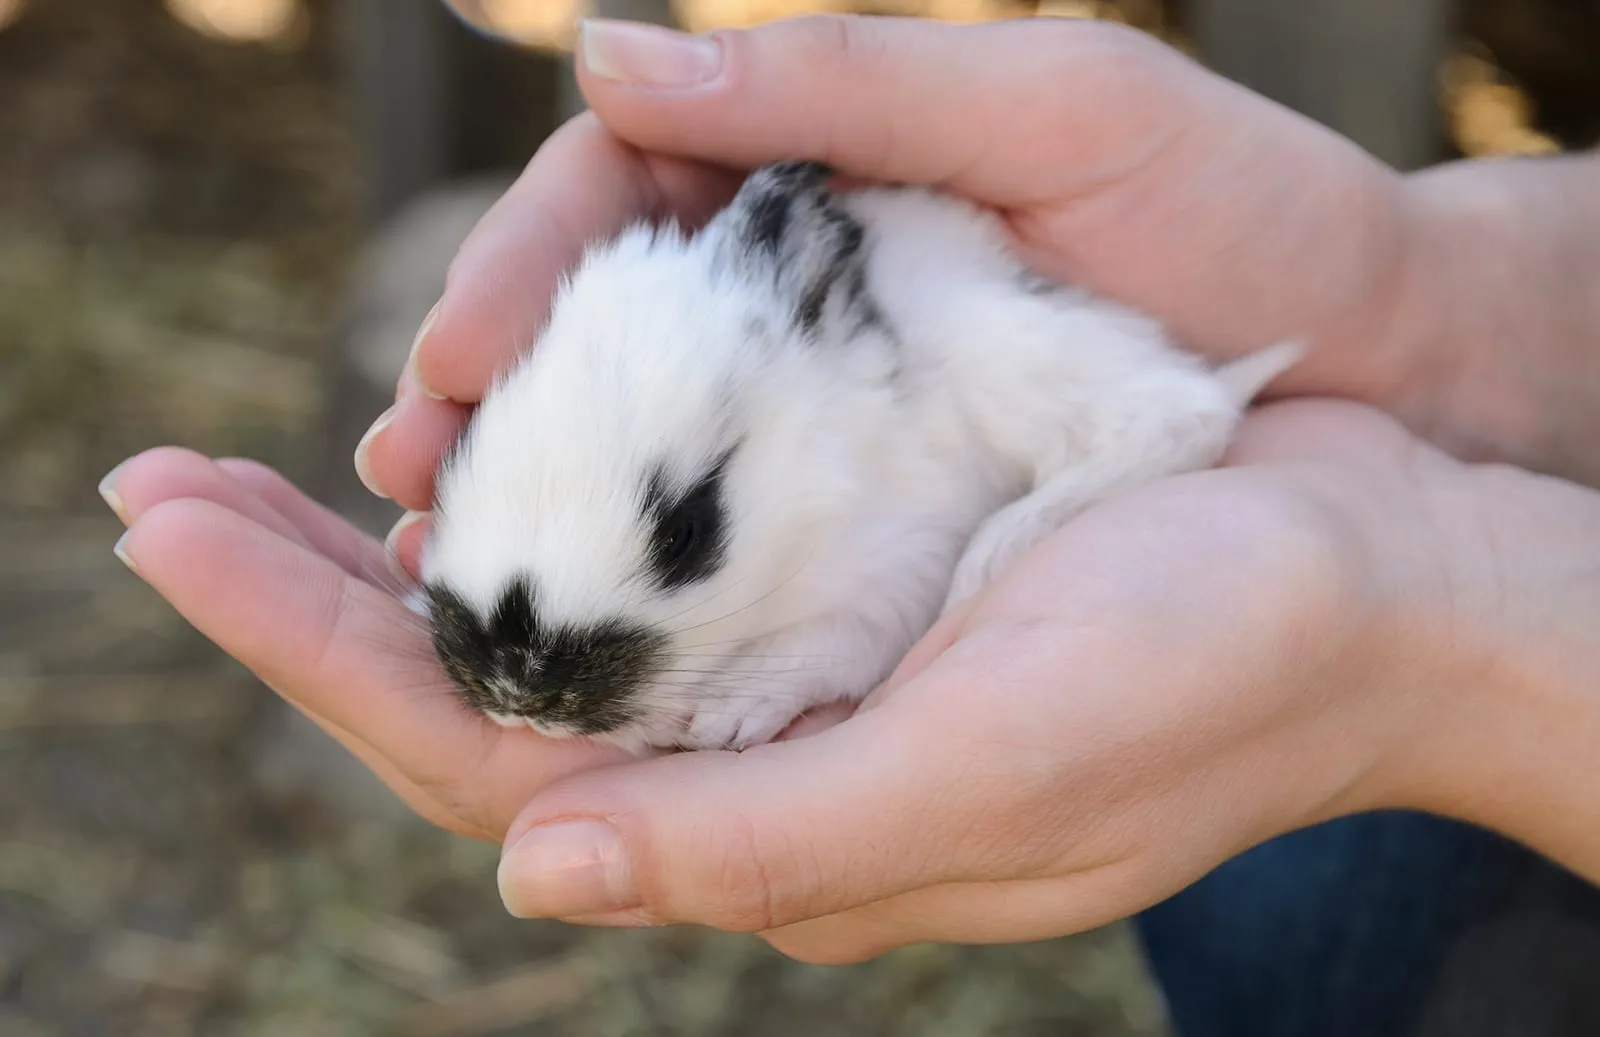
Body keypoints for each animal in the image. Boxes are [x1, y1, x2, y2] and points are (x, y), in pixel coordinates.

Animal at [415, 160, 1302, 755]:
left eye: (688, 532)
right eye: (460, 453)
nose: (517, 689)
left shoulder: (902, 561)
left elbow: (842, 636)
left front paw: (728, 712)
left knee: (1184, 414)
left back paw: (1002, 549)